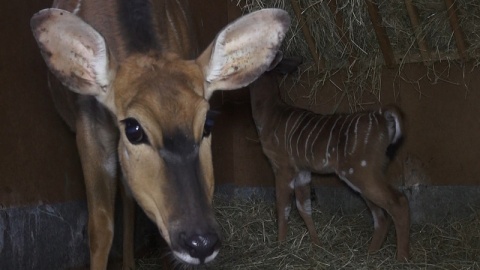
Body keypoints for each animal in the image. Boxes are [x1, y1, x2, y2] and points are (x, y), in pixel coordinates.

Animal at [249, 59, 410, 262]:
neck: (270, 114)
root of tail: (382, 116)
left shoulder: (282, 167)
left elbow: (283, 207)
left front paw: (280, 246)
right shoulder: (303, 171)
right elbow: (304, 207)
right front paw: (317, 245)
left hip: (361, 172)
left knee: (398, 202)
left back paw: (402, 258)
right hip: (363, 175)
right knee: (381, 216)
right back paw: (369, 255)